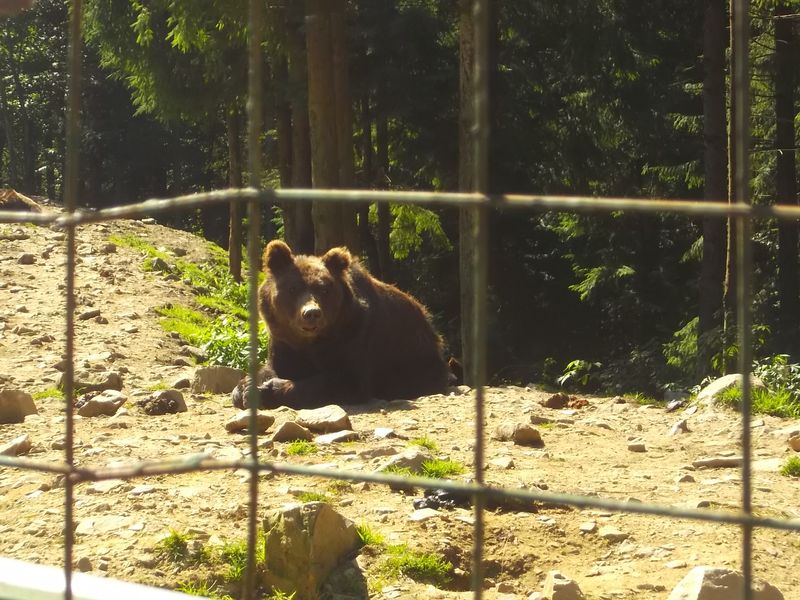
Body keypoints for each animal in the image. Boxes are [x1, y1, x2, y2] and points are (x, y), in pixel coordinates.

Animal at [231, 240, 450, 409]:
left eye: (324, 289)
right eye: (293, 288)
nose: (311, 313)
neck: (310, 342)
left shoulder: (351, 336)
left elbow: (343, 380)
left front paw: (268, 390)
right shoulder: (284, 339)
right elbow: (273, 367)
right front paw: (244, 388)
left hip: (412, 356)